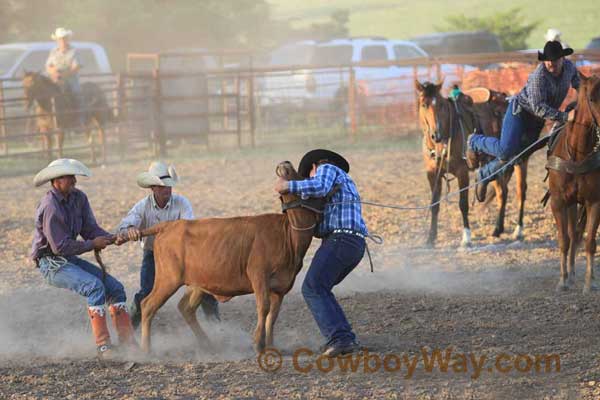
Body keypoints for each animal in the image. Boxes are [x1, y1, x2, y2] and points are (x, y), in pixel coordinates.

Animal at [414, 79, 476, 247]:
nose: (437, 135)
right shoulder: (432, 174)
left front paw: (466, 238)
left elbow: (463, 204)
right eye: (424, 104)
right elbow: (434, 205)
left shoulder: (463, 173)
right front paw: (431, 237)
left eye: (441, 104)